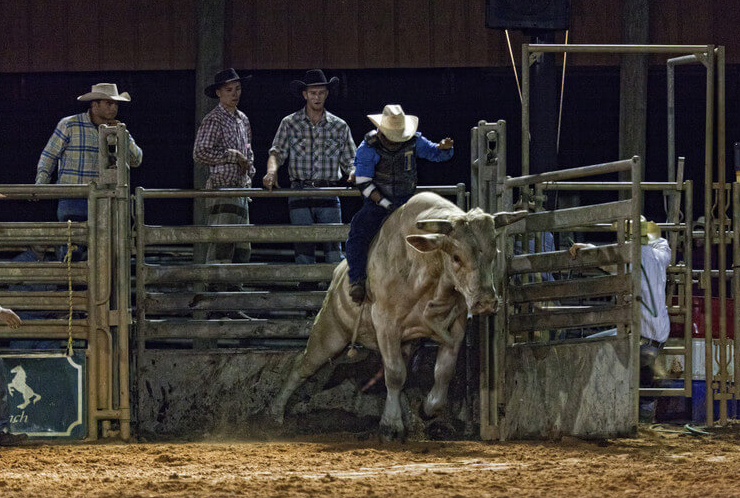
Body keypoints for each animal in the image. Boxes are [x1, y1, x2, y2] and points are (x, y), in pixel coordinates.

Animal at [268, 191, 524, 440]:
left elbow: (443, 372)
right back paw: (275, 413)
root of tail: (337, 274)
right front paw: (390, 425)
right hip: (329, 334)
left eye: (494, 254)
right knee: (303, 365)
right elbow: (394, 374)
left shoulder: (456, 328)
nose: (486, 302)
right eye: (456, 257)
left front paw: (426, 409)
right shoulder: (386, 324)